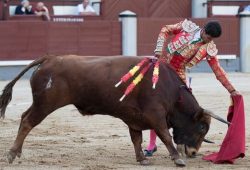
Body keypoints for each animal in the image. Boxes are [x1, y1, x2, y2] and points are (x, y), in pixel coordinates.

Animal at [0, 55, 229, 167]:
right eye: (202, 127)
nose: (193, 153)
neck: (170, 90)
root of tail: (49, 59)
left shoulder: (134, 118)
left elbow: (136, 138)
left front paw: (142, 159)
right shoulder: (155, 114)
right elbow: (165, 135)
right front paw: (177, 158)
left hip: (40, 102)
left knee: (24, 117)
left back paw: (16, 152)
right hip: (46, 104)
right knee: (28, 122)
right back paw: (11, 154)